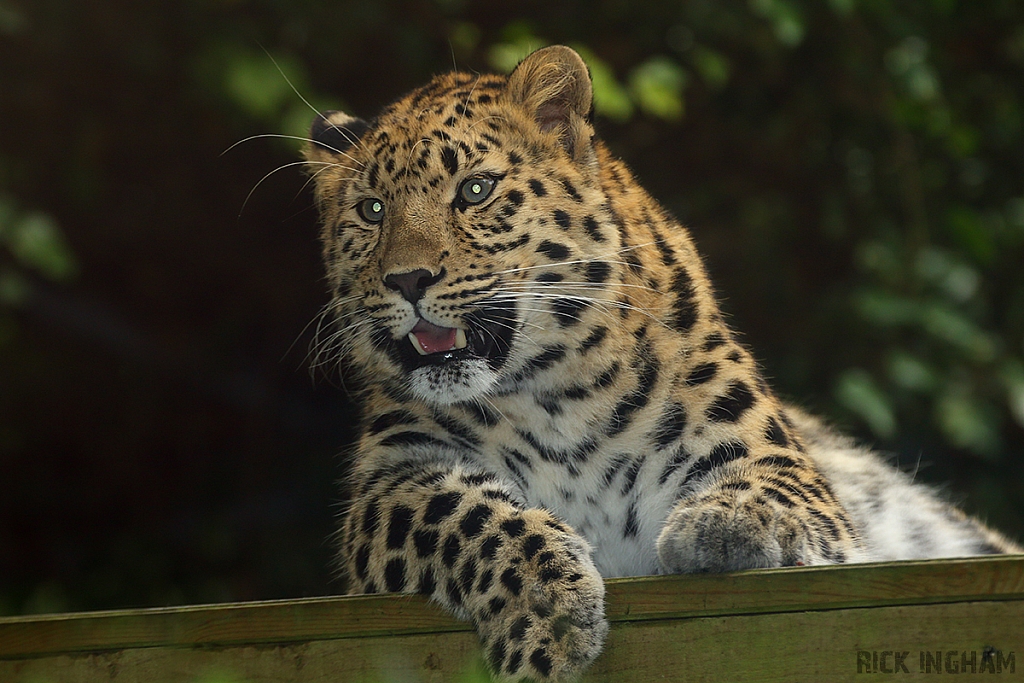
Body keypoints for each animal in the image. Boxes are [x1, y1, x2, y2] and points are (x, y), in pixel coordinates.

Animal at [299, 45, 1019, 679]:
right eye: (371, 210)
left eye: (475, 190)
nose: (407, 279)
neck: (551, 394)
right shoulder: (393, 480)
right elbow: (471, 516)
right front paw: (547, 613)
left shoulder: (776, 458)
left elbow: (767, 485)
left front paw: (724, 523)